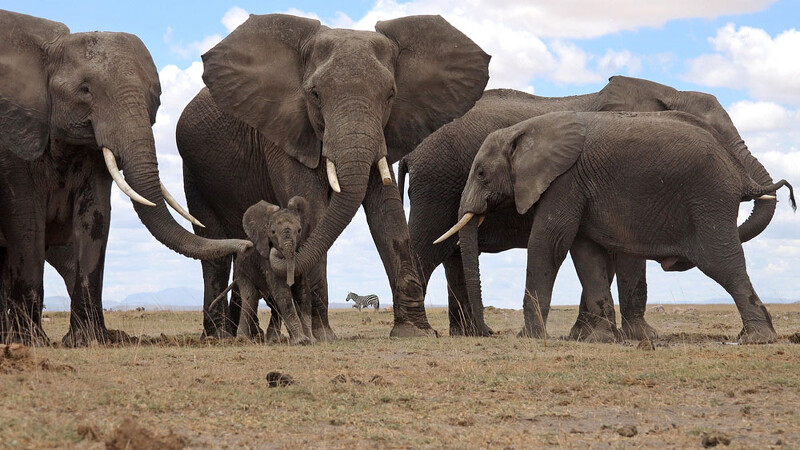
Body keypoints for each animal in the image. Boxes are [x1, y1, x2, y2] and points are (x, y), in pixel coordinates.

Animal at [0, 10, 250, 346]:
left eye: (155, 96)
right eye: (84, 91)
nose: (247, 245)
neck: (50, 51)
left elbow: (95, 219)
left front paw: (89, 340)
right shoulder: (14, 143)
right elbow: (27, 222)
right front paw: (31, 342)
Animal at [216, 197, 316, 344]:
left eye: (299, 230)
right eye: (273, 232)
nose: (276, 250)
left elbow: (302, 291)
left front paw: (311, 340)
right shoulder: (265, 261)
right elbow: (282, 292)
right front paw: (301, 341)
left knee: (272, 303)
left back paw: (273, 340)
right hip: (242, 270)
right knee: (250, 299)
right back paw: (243, 340)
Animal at [404, 77, 780, 338]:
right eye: (721, 134)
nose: (674, 261)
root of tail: (412, 151)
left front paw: (596, 335)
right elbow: (575, 246)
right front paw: (620, 335)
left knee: (452, 255)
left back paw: (465, 334)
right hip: (435, 183)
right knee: (425, 249)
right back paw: (426, 332)